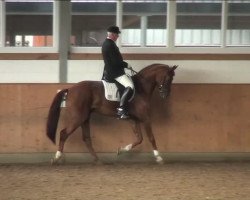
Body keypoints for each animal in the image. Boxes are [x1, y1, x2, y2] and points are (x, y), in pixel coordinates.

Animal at [46, 63, 177, 164]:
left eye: (171, 79)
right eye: (167, 78)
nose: (165, 95)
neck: (141, 88)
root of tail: (71, 89)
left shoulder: (134, 119)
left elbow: (139, 139)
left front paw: (121, 150)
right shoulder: (145, 118)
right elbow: (151, 137)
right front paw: (159, 157)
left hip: (85, 118)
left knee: (86, 138)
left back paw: (98, 160)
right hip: (78, 118)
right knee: (64, 134)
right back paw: (56, 158)